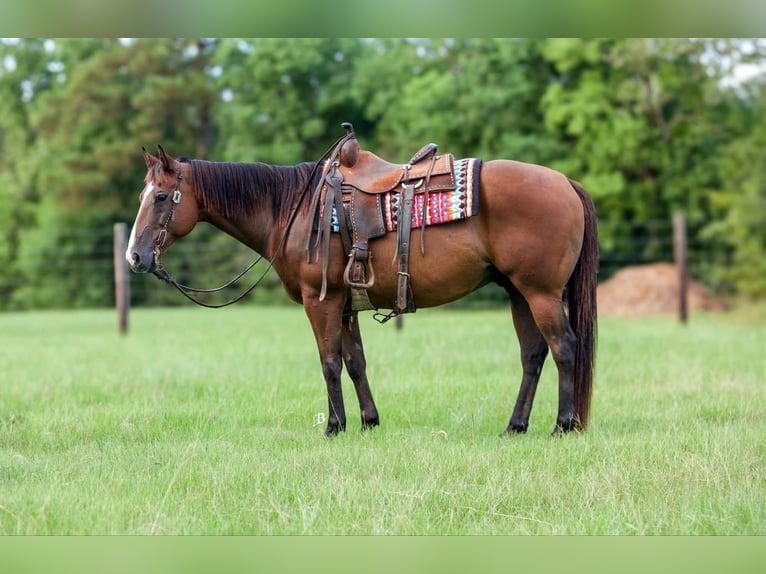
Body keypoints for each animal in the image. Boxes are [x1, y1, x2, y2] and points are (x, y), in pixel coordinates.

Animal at [126, 137, 600, 438]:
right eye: (142, 196)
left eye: (162, 197)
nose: (134, 256)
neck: (294, 209)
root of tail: (566, 182)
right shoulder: (346, 304)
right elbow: (355, 362)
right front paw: (369, 421)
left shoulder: (320, 302)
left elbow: (329, 363)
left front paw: (335, 426)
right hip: (519, 292)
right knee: (533, 355)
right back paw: (516, 426)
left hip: (540, 293)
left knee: (564, 348)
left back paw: (562, 426)